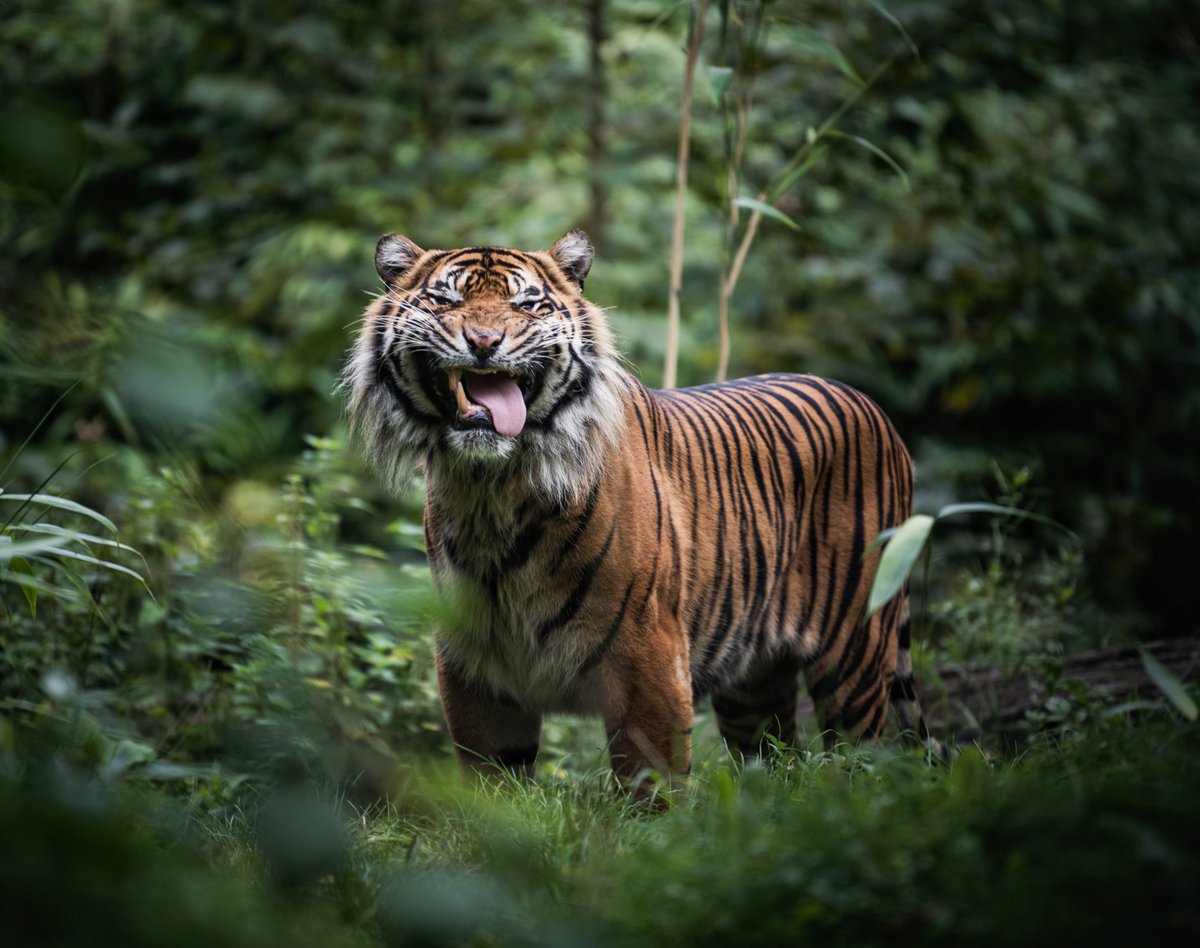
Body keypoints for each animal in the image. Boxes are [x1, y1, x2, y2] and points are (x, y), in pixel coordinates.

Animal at [343, 229, 941, 789]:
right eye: (445, 301)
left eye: (527, 305)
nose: (484, 342)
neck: (494, 488)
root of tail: (870, 405)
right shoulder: (474, 664)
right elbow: (492, 778)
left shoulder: (648, 652)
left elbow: (649, 780)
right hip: (752, 687)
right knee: (777, 761)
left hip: (855, 653)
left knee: (862, 758)